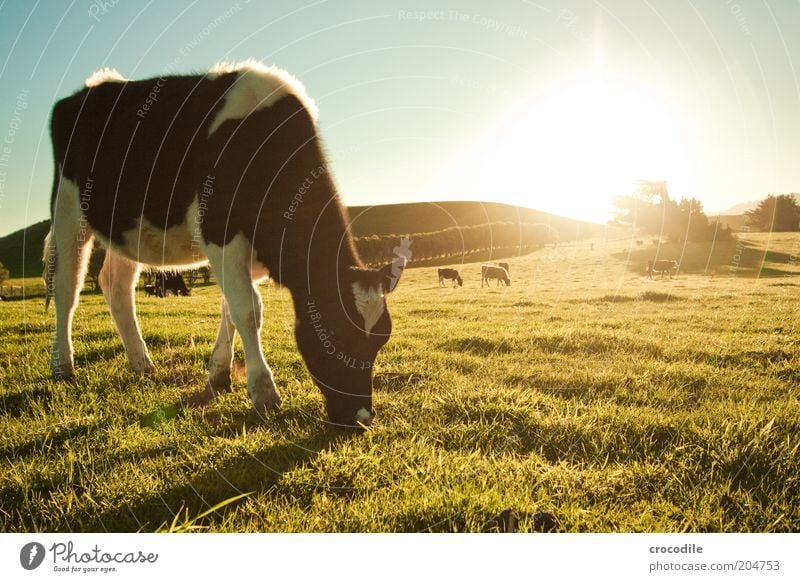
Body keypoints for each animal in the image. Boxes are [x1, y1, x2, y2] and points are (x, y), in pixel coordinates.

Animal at [42, 61, 406, 428]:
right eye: (334, 334)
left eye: (381, 338)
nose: (361, 418)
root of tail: (92, 87)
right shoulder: (221, 231)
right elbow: (247, 309)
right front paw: (264, 392)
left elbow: (233, 307)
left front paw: (219, 373)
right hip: (68, 209)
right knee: (67, 289)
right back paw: (63, 366)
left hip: (126, 230)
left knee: (115, 286)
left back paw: (141, 363)